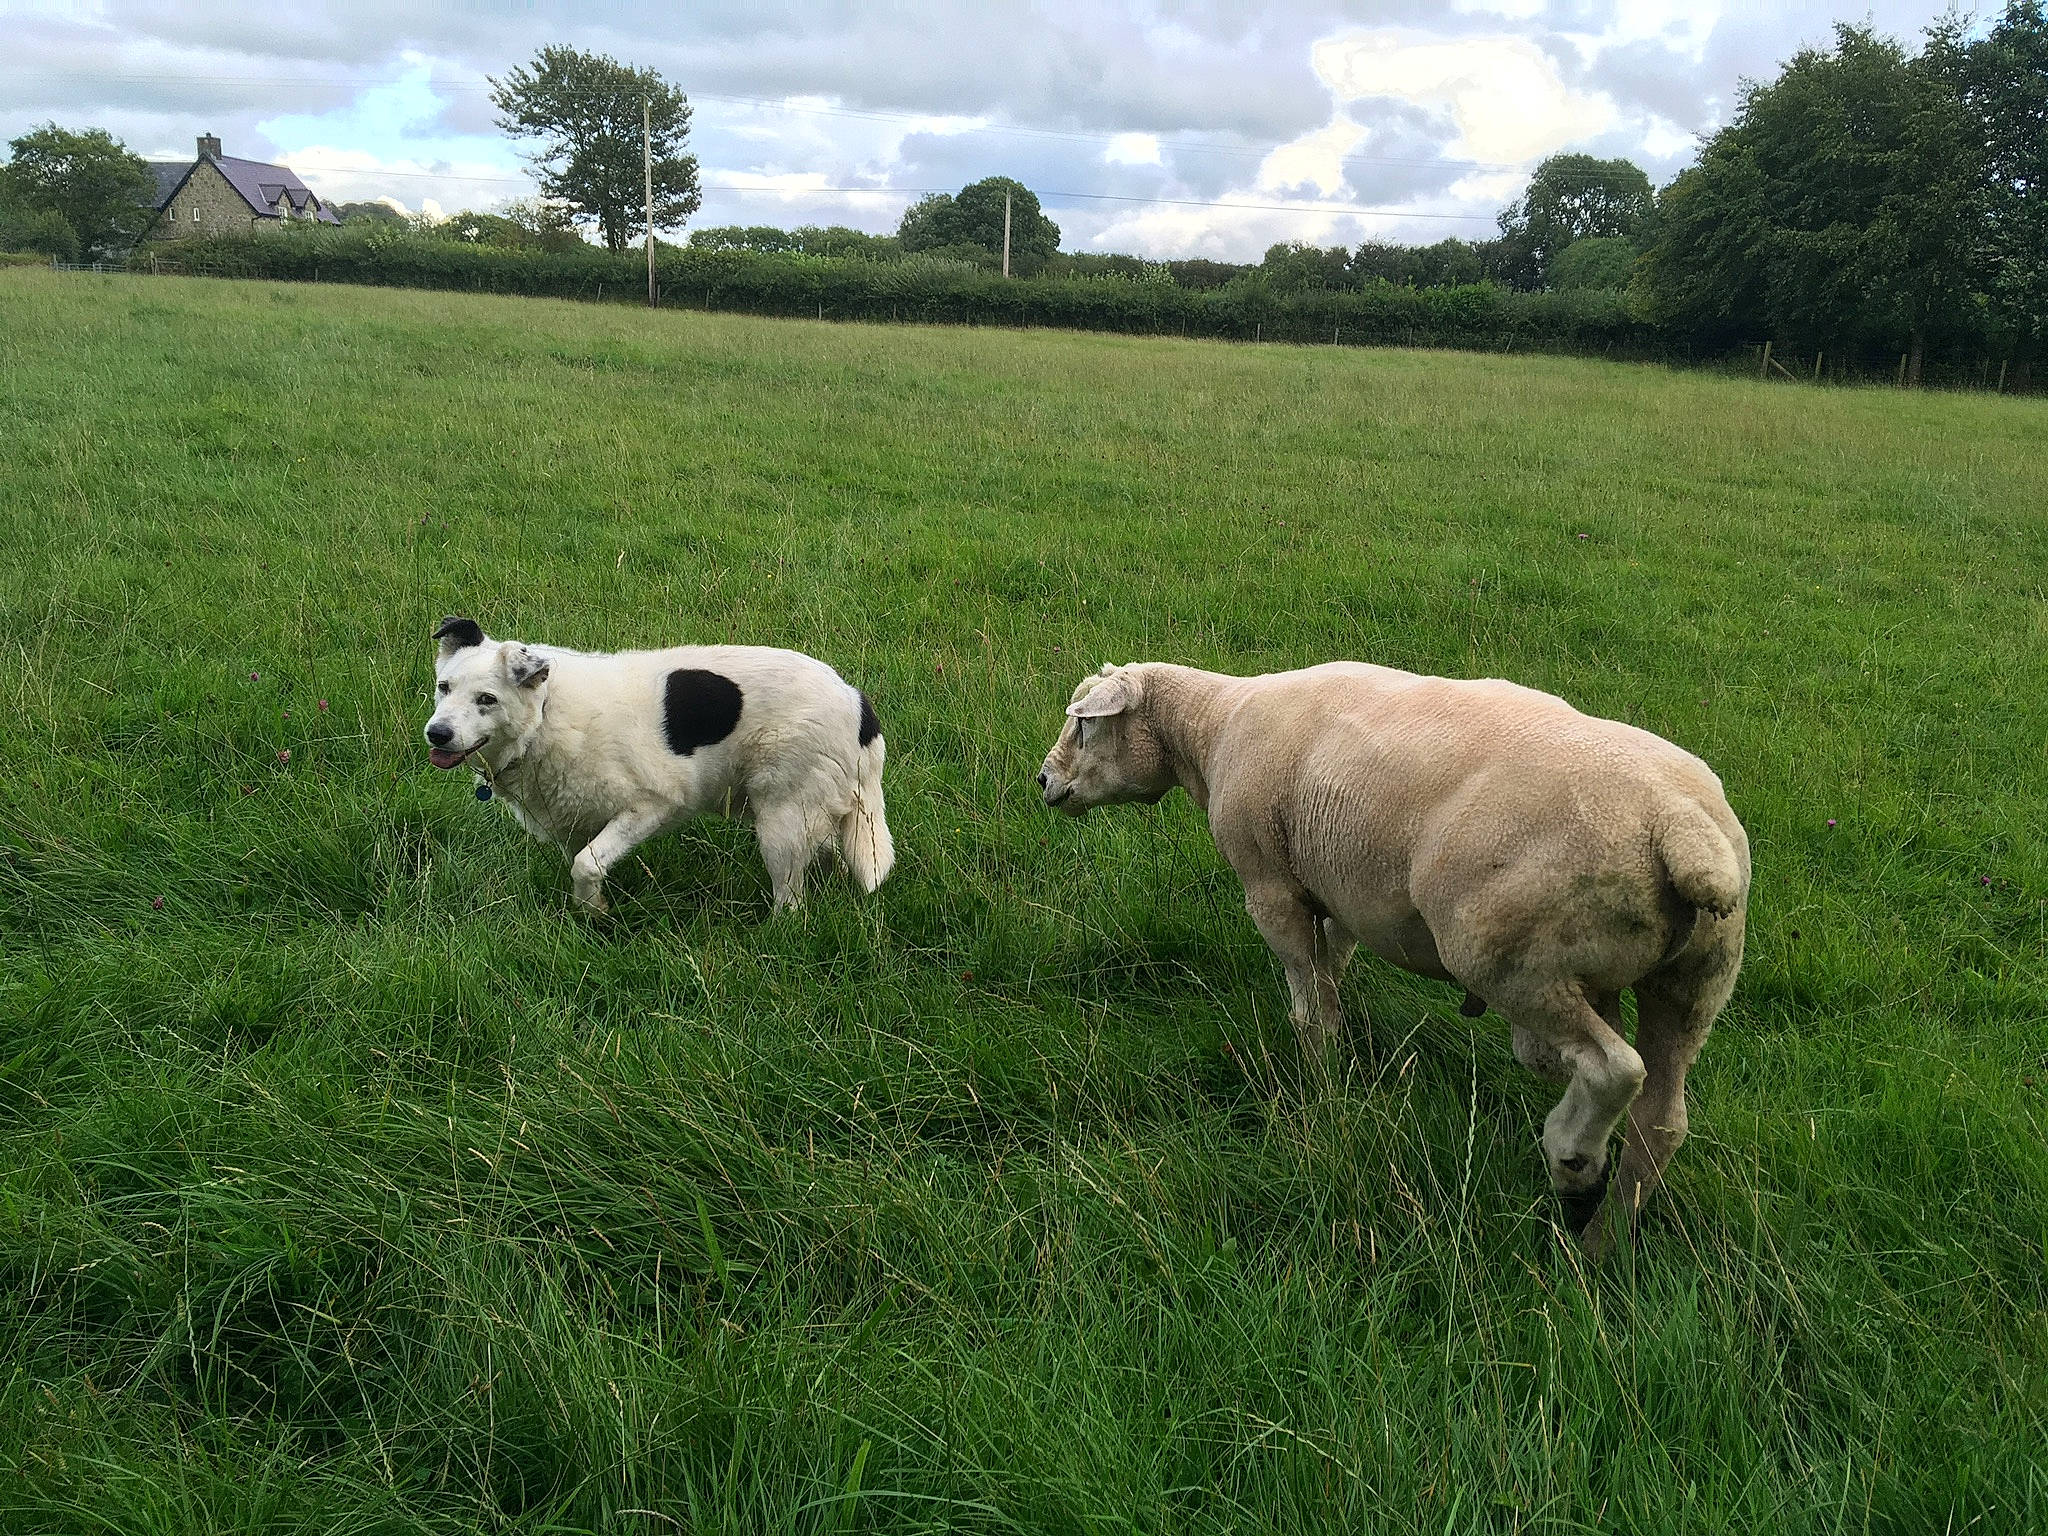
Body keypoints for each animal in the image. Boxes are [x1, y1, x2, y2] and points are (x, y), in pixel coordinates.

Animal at [1037, 660, 1749, 1251]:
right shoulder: (1342, 894)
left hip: (1508, 959)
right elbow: (1331, 970)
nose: (1043, 781)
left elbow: (1308, 997)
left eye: (1085, 726)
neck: (1210, 728)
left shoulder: (1271, 887)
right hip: (1691, 978)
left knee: (1613, 1068)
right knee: (1659, 1118)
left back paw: (1573, 1160)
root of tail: (1681, 828)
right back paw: (1600, 1240)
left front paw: (1321, 1080)